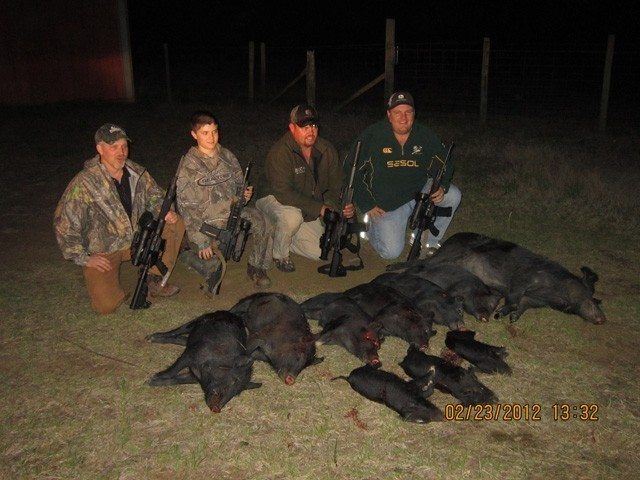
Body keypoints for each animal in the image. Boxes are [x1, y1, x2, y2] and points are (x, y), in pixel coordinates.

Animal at [428, 232, 606, 324]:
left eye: (595, 299)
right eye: (589, 297)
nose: (603, 318)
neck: (552, 292)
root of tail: (450, 239)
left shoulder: (535, 300)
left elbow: (523, 305)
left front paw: (512, 319)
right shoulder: (522, 279)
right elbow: (513, 300)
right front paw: (498, 314)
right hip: (449, 254)